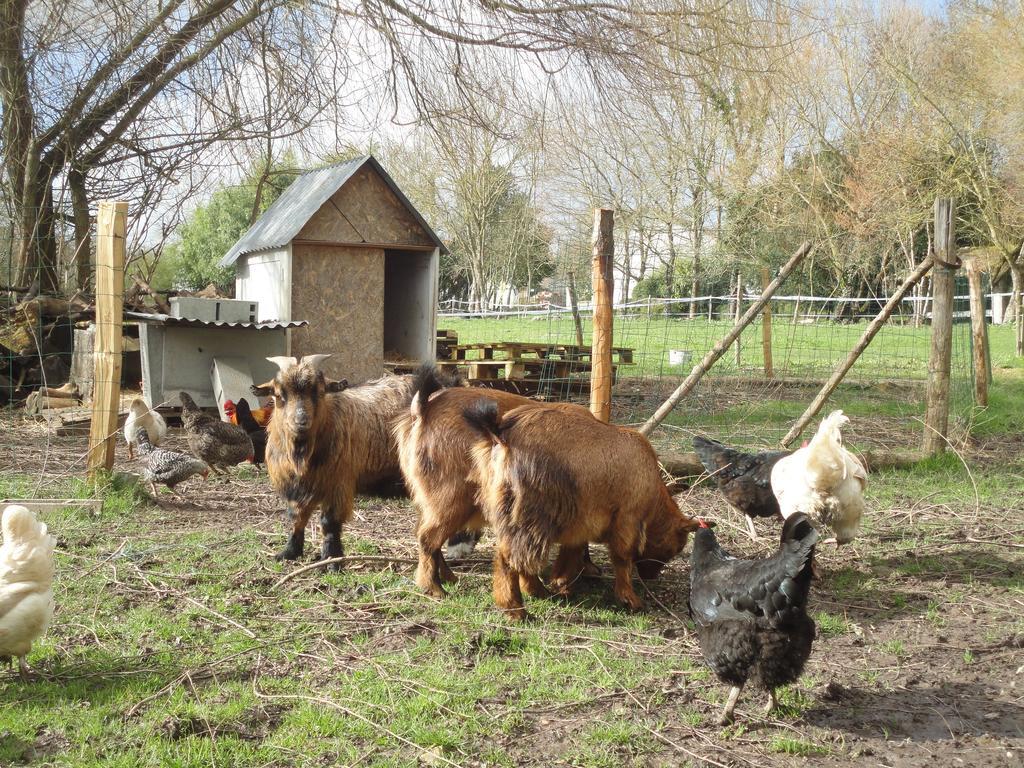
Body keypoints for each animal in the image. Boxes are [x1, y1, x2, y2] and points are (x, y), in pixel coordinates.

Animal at [264, 358, 415, 569]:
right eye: (279, 394)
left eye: (320, 392)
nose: (301, 421)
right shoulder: (296, 487)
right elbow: (296, 518)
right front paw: (289, 552)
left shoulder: (338, 483)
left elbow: (330, 522)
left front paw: (331, 560)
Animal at [466, 399, 700, 622]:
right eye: (674, 549)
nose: (651, 576)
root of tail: (501, 433)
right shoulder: (627, 518)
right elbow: (622, 558)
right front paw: (629, 598)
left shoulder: (580, 523)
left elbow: (572, 551)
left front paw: (562, 582)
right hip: (533, 516)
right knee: (511, 558)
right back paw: (516, 609)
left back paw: (536, 592)